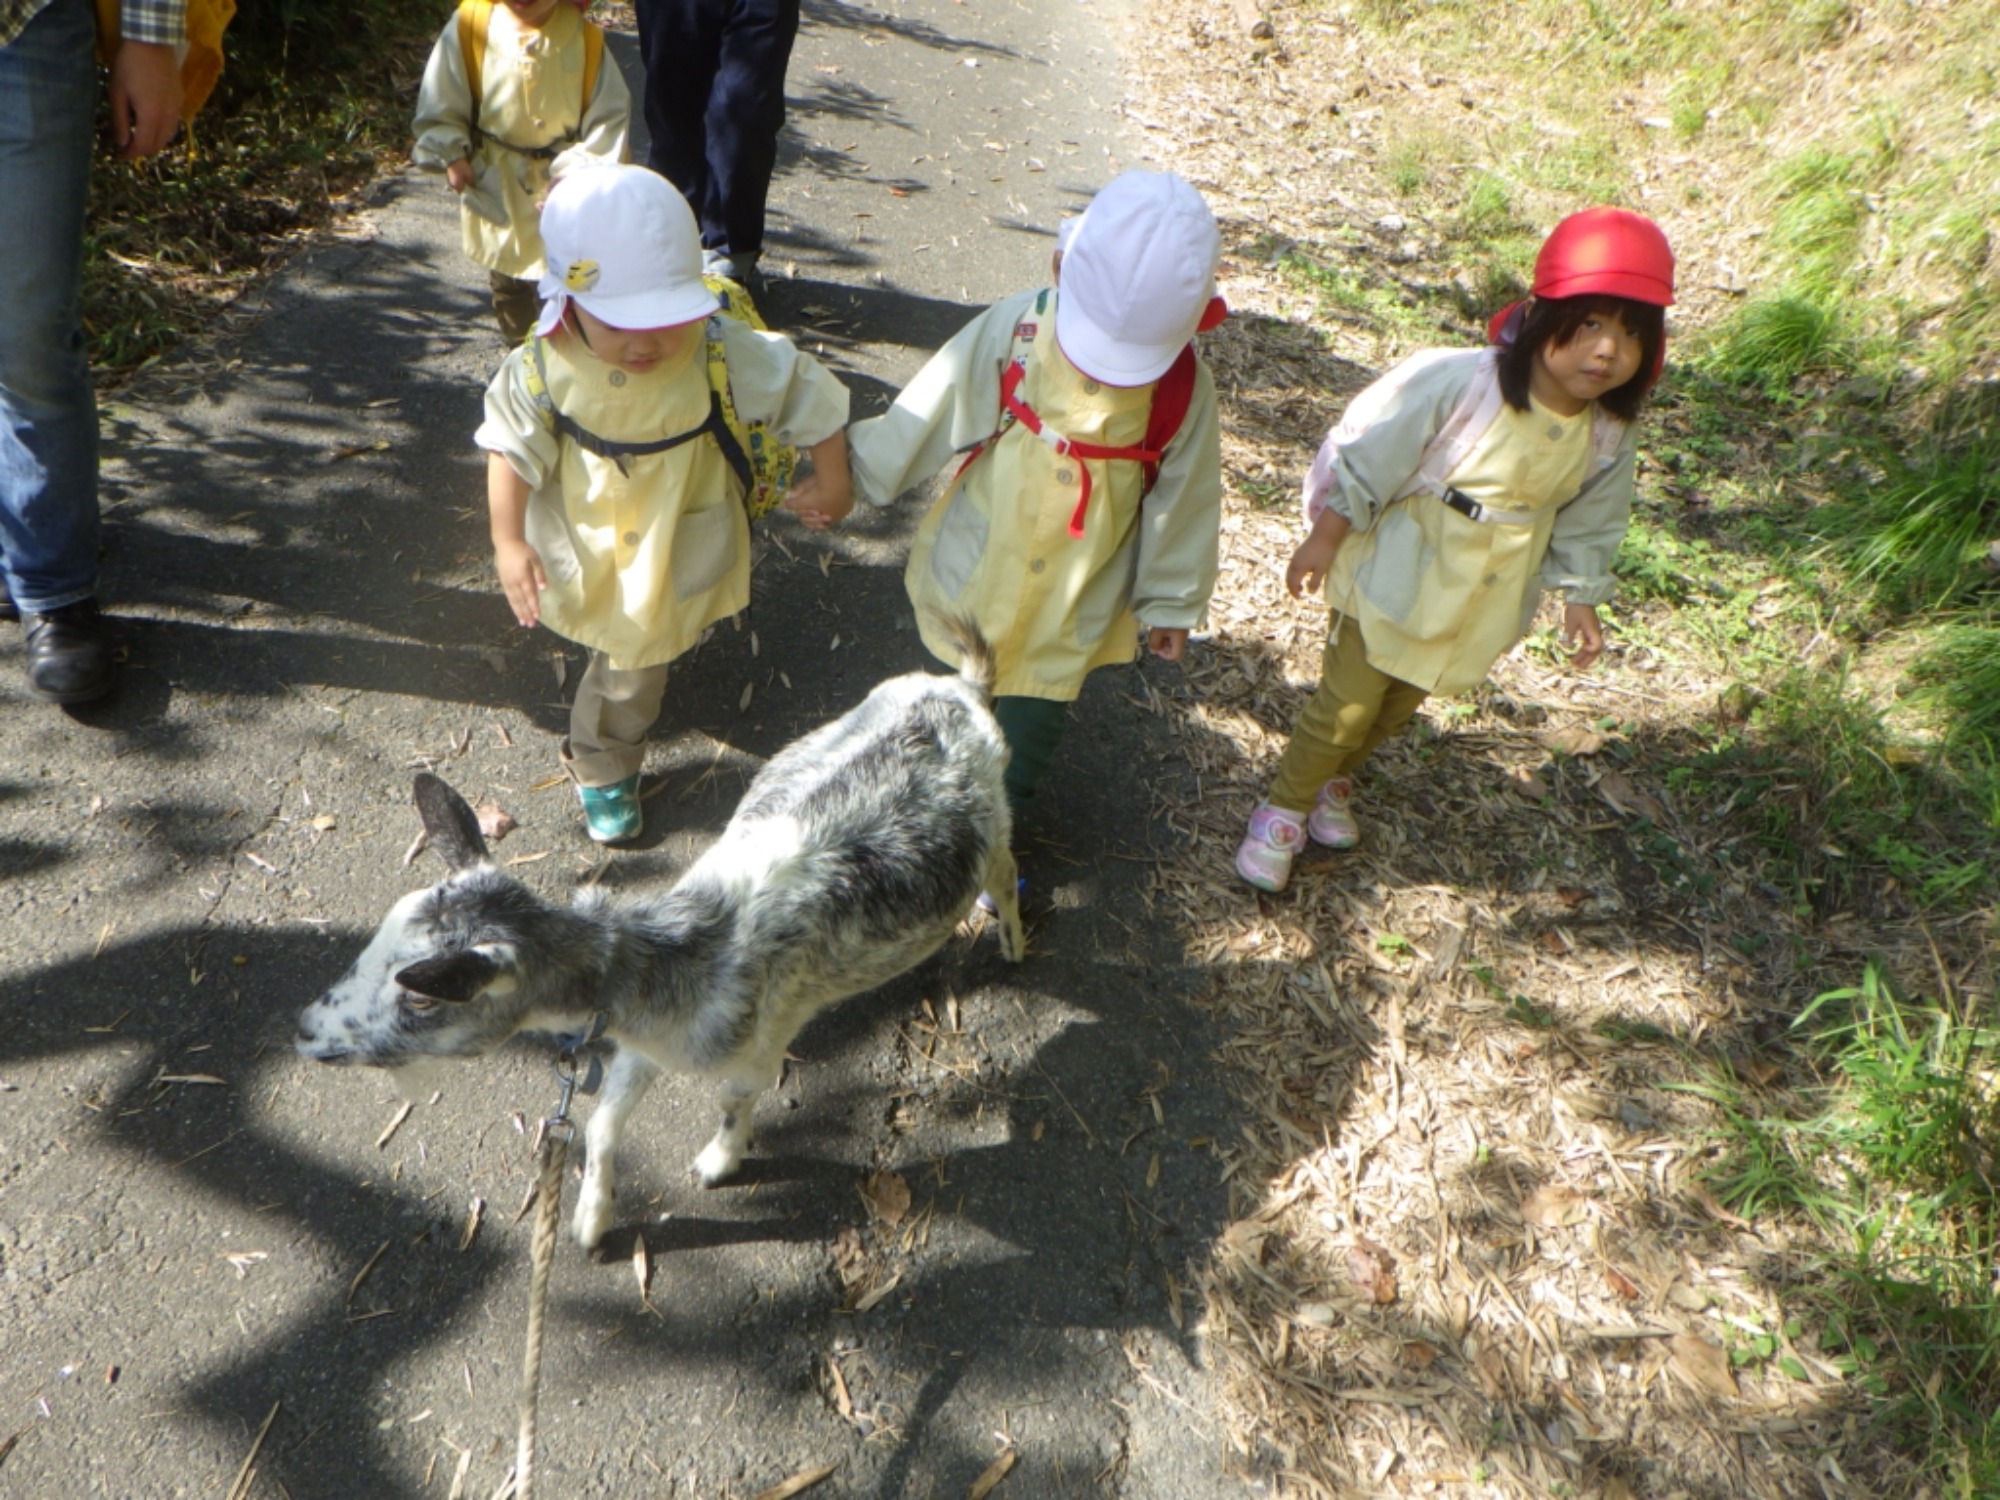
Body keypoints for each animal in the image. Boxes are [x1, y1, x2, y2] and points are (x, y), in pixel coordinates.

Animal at [296, 628, 1024, 1248]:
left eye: (424, 995)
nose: (304, 1030)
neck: (685, 956)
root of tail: (959, 687)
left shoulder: (757, 1052)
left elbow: (733, 1102)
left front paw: (717, 1163)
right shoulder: (636, 1043)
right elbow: (602, 1122)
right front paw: (591, 1222)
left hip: (996, 823)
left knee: (1008, 872)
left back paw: (1014, 943)